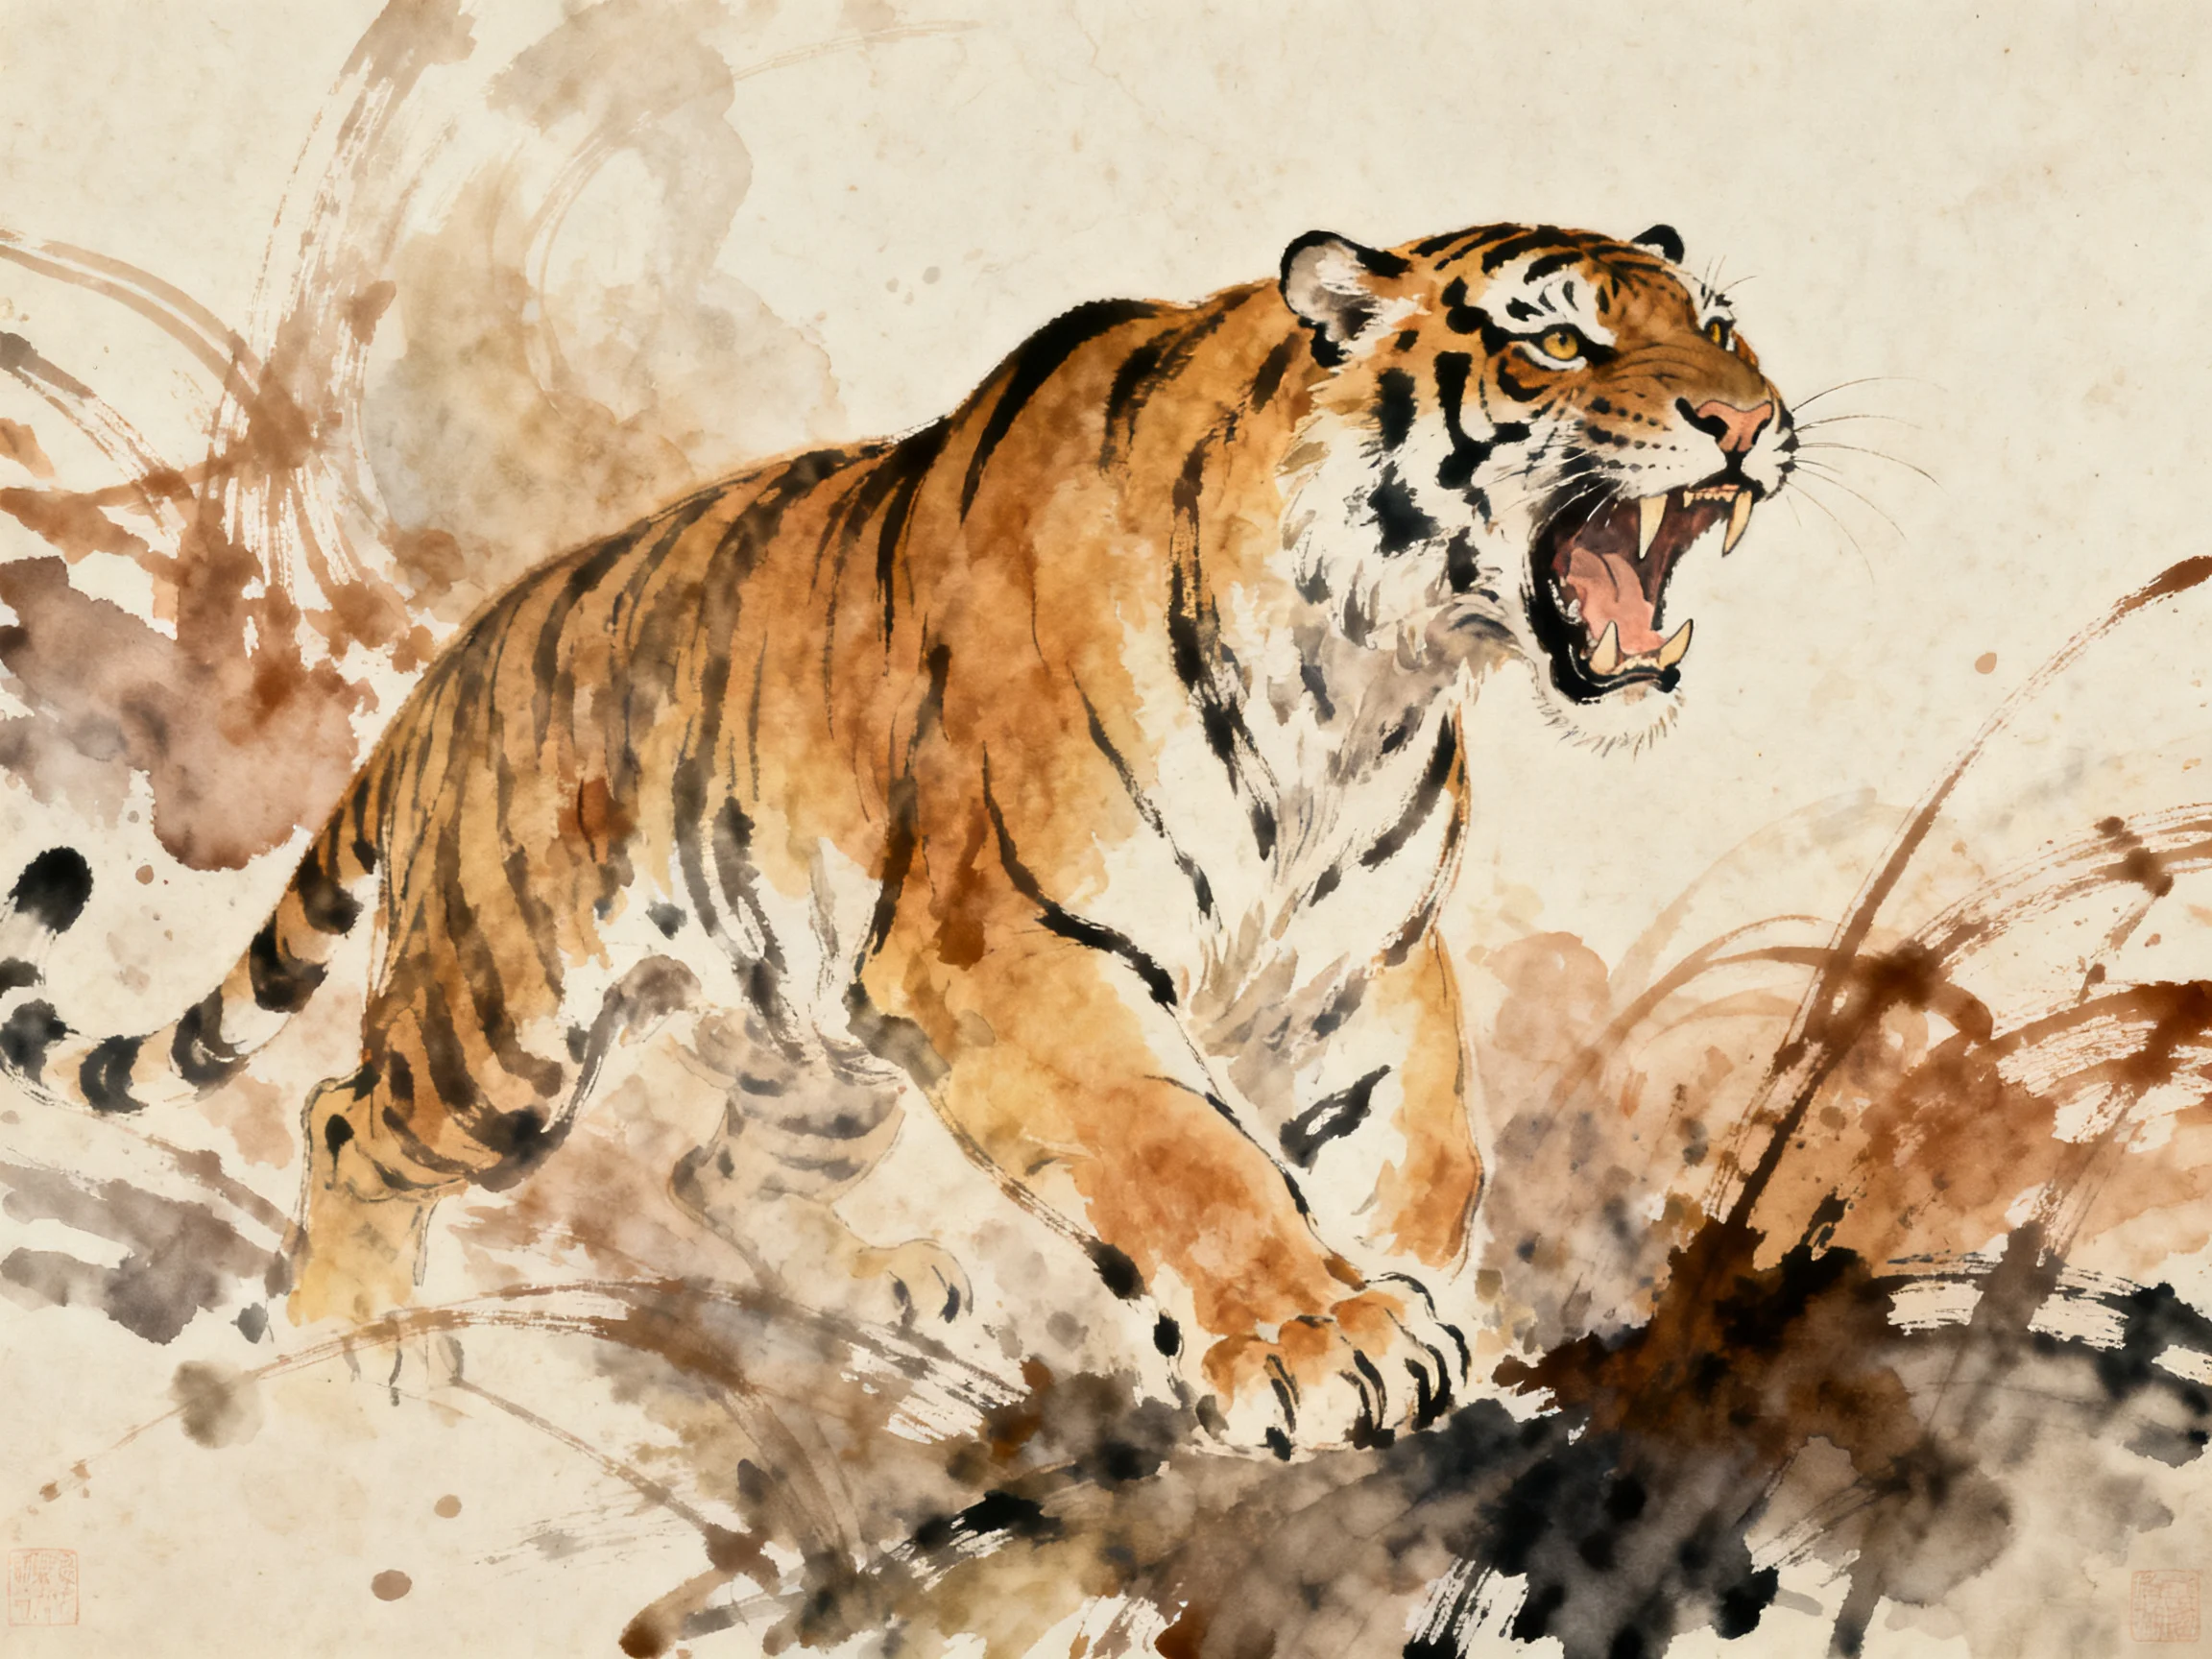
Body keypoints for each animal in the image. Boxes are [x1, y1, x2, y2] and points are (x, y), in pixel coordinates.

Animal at [0, 220, 1792, 1454]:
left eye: (1713, 324)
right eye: (1552, 340)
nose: (1747, 418)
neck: (1362, 676)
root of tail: (454, 666)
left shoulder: (1366, 961)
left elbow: (1420, 1141)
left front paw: (1414, 1290)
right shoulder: (1020, 952)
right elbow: (1185, 1151)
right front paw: (1318, 1337)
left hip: (815, 1047)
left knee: (718, 1162)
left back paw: (866, 1282)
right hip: (501, 1026)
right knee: (346, 1120)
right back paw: (354, 1333)